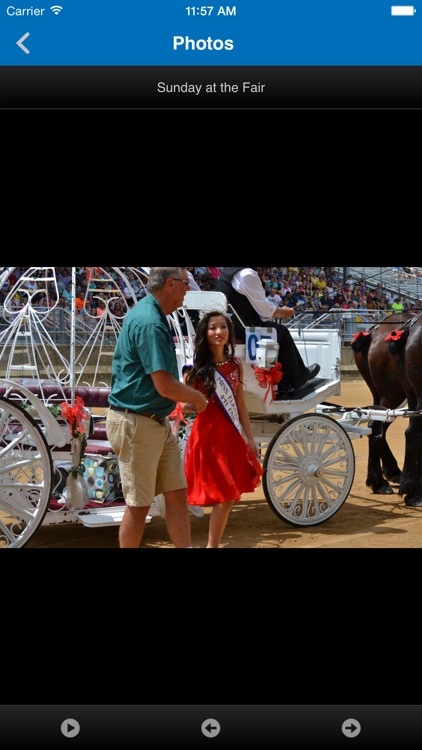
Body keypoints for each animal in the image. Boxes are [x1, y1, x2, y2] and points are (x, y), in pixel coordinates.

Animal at [352, 312, 422, 512]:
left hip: (395, 394)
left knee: (375, 426)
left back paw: (383, 479)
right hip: (396, 393)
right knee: (407, 432)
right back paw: (412, 491)